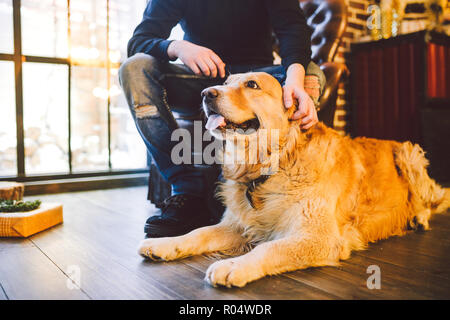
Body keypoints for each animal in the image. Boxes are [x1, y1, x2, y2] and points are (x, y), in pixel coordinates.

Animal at [139, 72, 448, 288]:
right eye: (226, 82)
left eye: (252, 85)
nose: (206, 93)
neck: (272, 167)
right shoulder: (238, 224)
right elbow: (199, 232)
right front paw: (164, 245)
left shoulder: (318, 237)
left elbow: (269, 247)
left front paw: (234, 266)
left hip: (409, 154)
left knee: (431, 200)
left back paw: (419, 217)